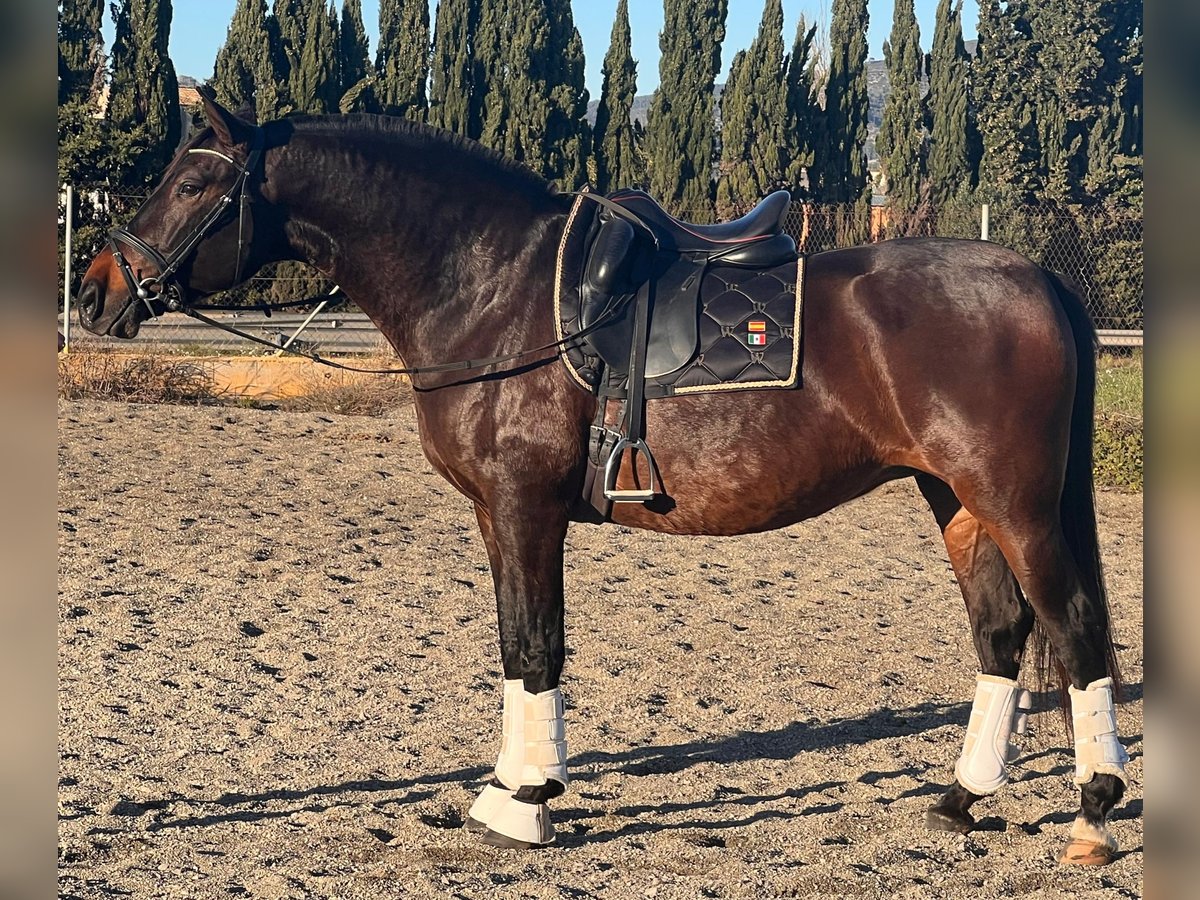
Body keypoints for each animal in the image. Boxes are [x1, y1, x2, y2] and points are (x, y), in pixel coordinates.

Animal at [77, 93, 1132, 868]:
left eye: (192, 182)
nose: (96, 291)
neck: (495, 288)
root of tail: (1036, 278)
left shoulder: (525, 506)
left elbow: (537, 644)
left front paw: (525, 803)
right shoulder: (498, 515)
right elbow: (515, 645)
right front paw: (510, 789)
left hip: (1015, 502)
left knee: (1077, 628)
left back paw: (1091, 812)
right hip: (953, 498)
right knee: (1002, 633)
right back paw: (960, 798)